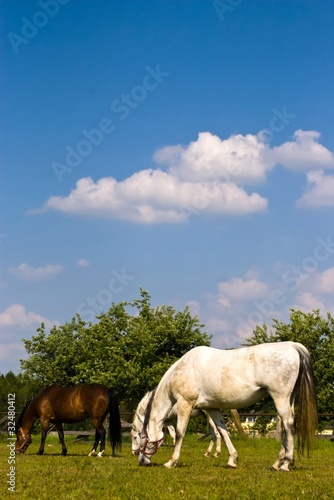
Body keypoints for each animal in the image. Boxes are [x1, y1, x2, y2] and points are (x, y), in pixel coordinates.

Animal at [139, 342, 318, 470]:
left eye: (141, 437)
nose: (141, 461)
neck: (183, 369)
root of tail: (292, 346)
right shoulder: (212, 409)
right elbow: (223, 431)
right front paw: (232, 460)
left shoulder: (185, 404)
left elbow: (179, 433)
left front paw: (172, 462)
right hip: (289, 399)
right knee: (288, 427)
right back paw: (277, 463)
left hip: (280, 398)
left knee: (288, 425)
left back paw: (286, 464)